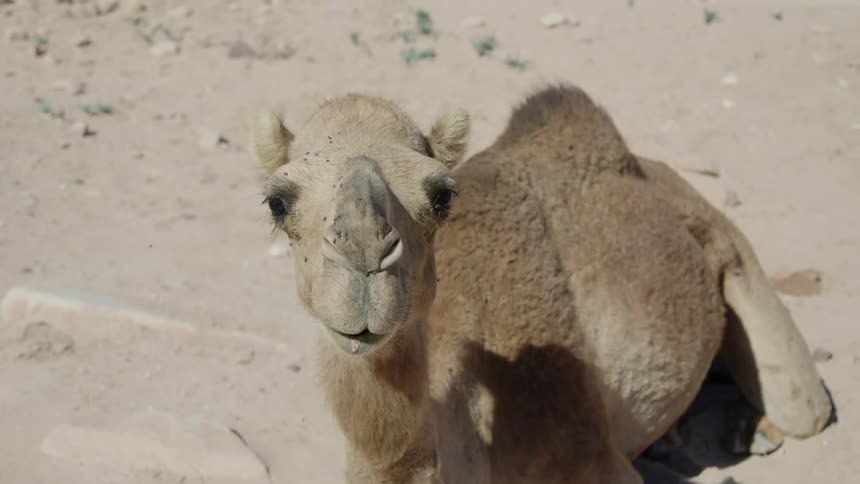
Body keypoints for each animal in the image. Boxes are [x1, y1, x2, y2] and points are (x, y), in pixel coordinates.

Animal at [250, 85, 833, 483]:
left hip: (733, 249)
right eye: (277, 201)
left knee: (805, 407)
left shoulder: (591, 459)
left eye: (440, 196)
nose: (365, 256)